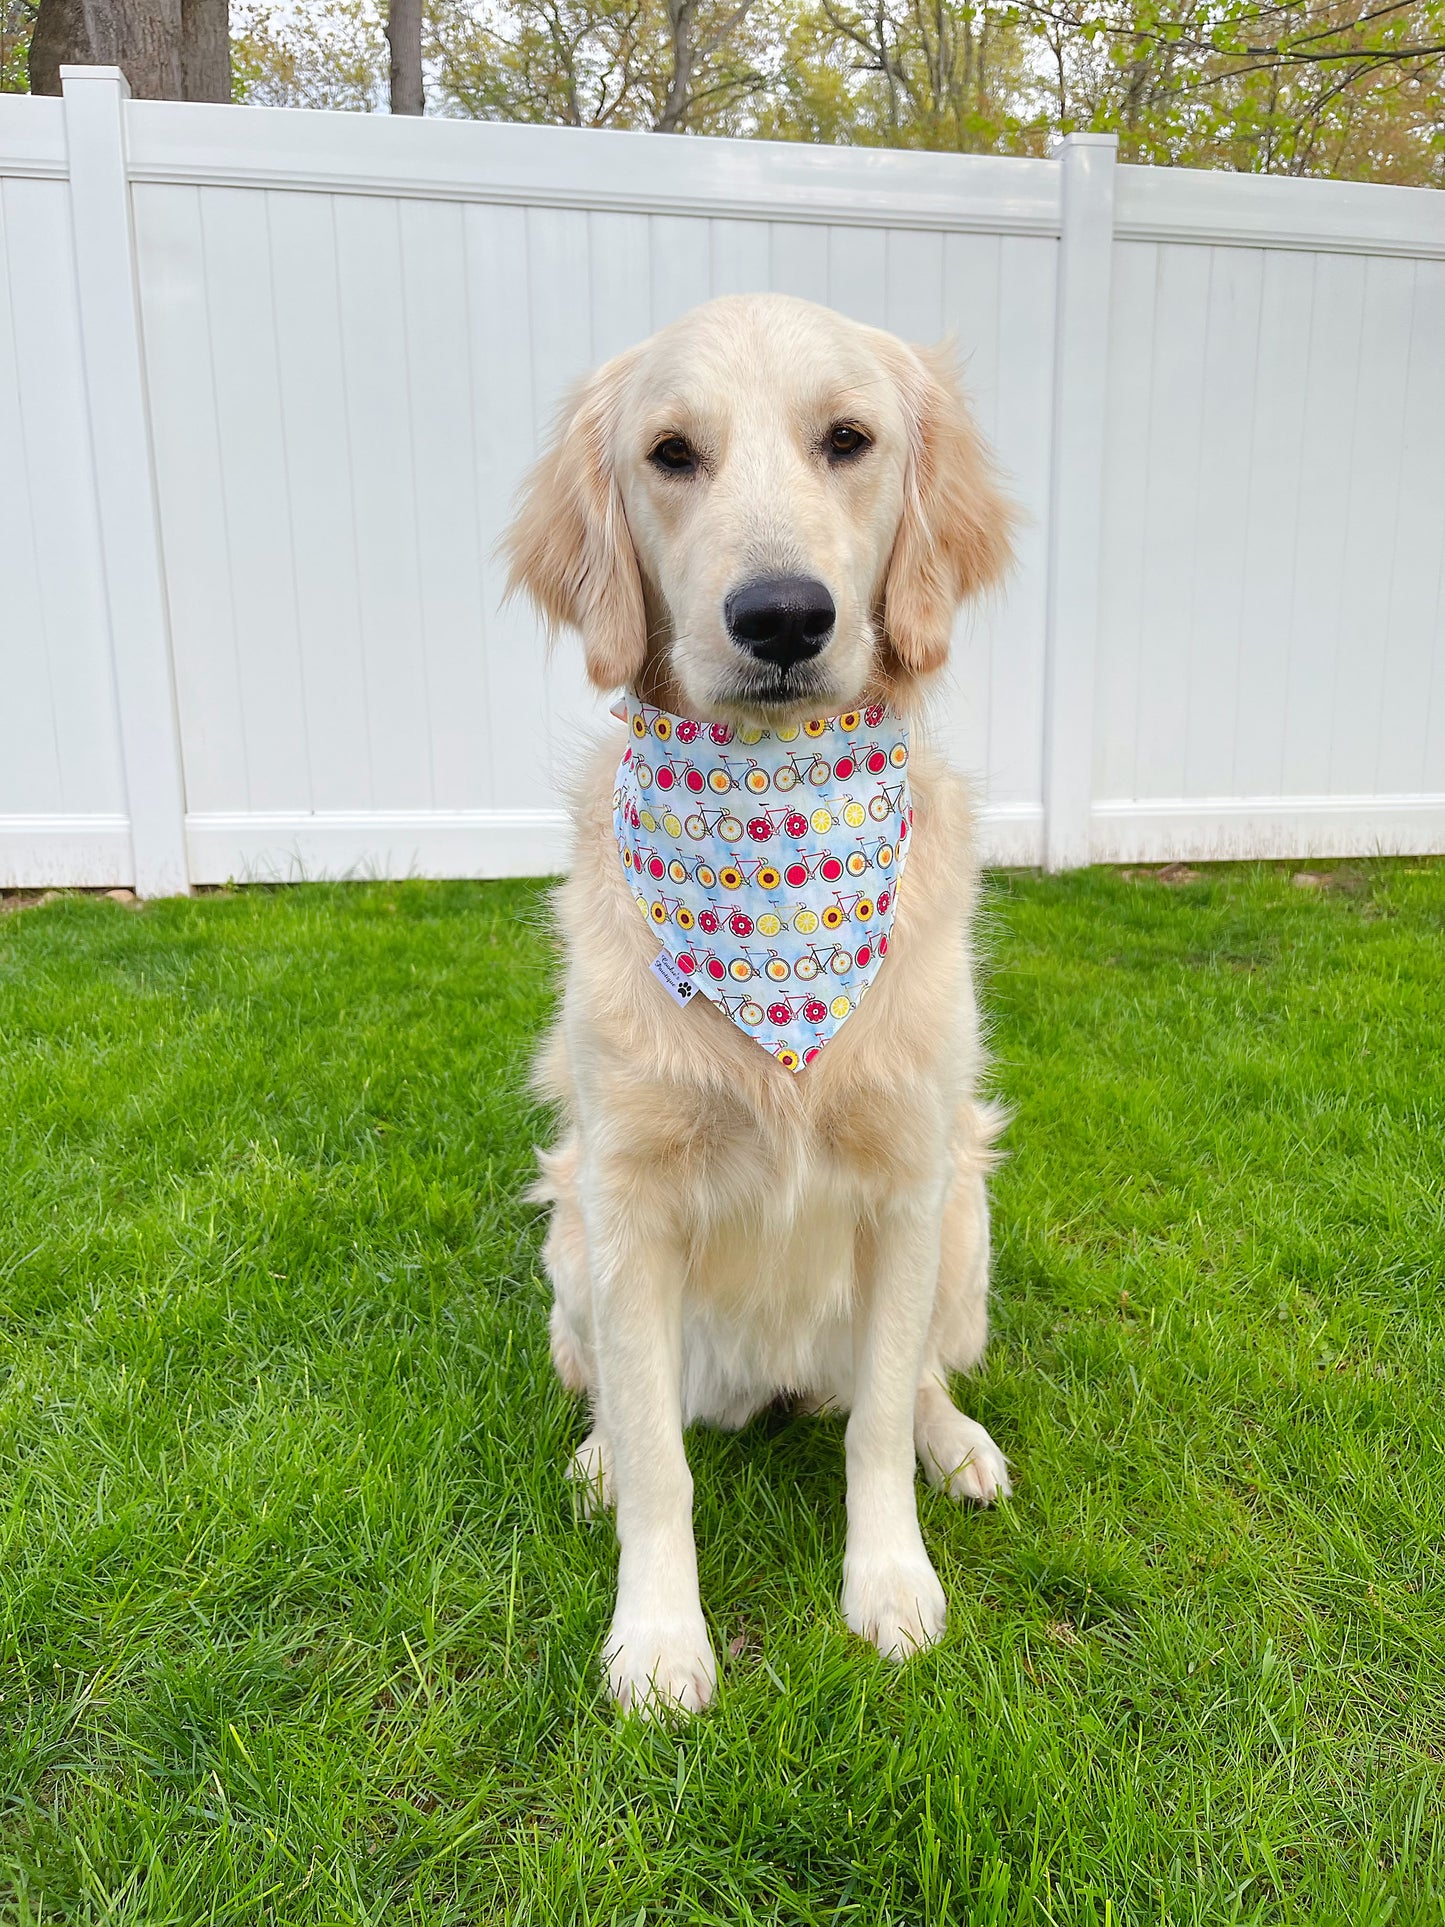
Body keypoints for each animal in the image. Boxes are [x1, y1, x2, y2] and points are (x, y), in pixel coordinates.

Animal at [508, 289, 1017, 1718]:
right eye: (670, 453)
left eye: (847, 439)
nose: (781, 616)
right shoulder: (628, 1199)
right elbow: (660, 1464)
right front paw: (656, 1638)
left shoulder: (906, 1180)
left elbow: (878, 1424)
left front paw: (889, 1582)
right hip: (568, 1241)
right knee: (632, 1413)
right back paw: (594, 1458)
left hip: (967, 1218)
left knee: (912, 1379)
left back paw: (960, 1443)